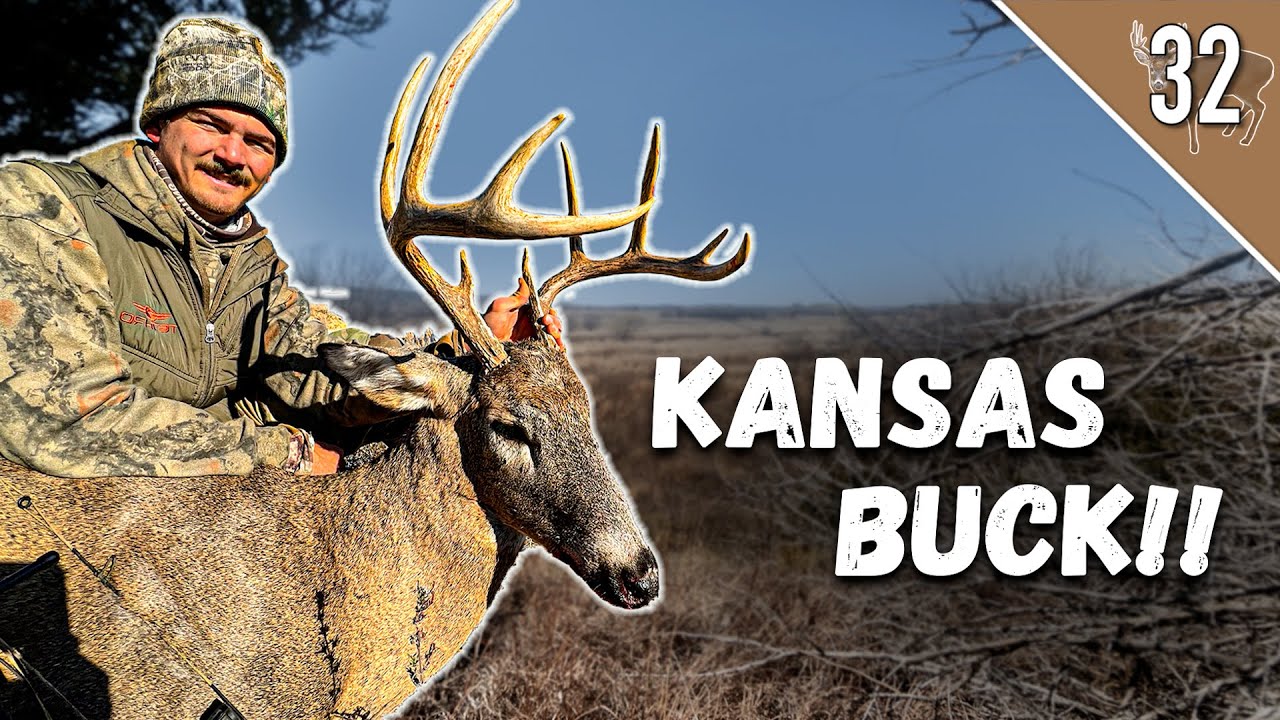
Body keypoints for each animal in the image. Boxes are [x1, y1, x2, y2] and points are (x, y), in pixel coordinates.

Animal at [1130, 20, 1274, 154]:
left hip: (1249, 88)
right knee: (1248, 106)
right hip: (1243, 90)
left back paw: (1245, 140)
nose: (1158, 84)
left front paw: (1194, 148)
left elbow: (1192, 121)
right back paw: (1228, 131)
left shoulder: (1195, 96)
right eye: (1151, 68)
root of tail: (1271, 66)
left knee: (1259, 106)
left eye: (1167, 67)